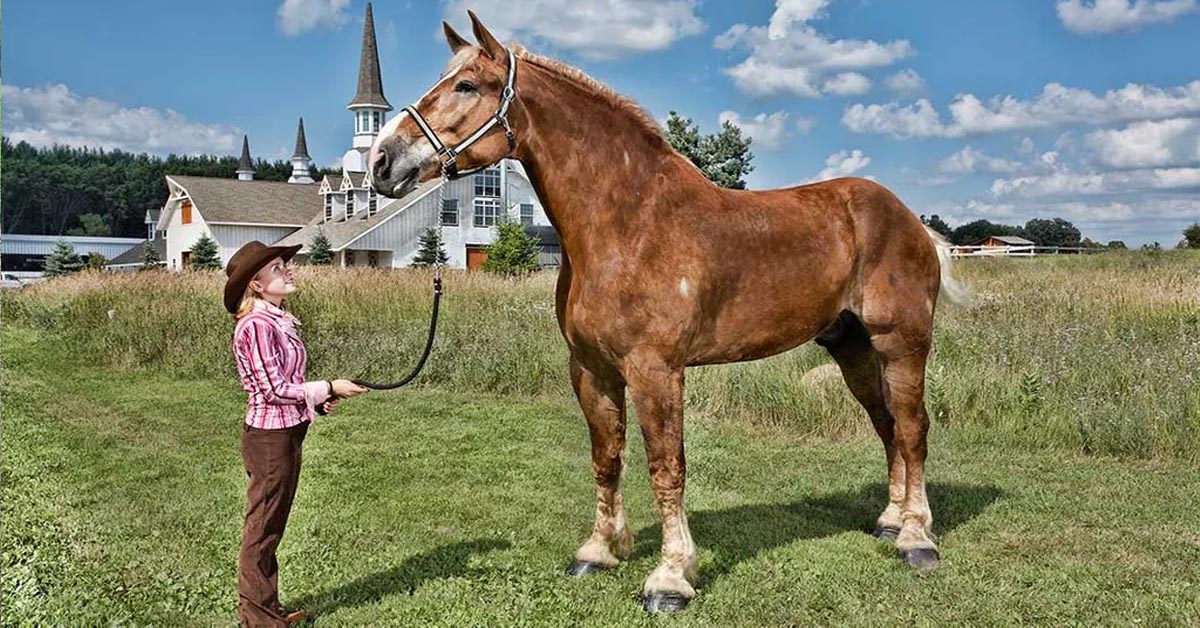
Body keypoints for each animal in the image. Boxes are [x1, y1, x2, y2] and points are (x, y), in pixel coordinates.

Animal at [369, 12, 969, 612]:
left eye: (468, 86)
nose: (382, 161)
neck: (629, 224)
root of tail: (912, 222)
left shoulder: (655, 370)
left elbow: (666, 467)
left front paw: (671, 577)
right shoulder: (592, 370)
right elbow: (607, 458)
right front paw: (599, 551)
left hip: (902, 343)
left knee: (912, 428)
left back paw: (917, 539)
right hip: (852, 348)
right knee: (886, 426)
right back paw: (890, 521)